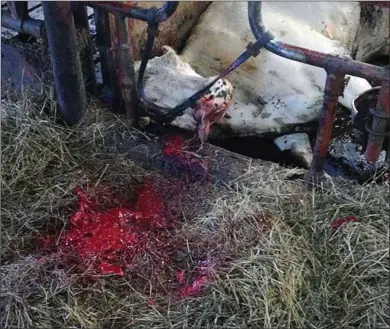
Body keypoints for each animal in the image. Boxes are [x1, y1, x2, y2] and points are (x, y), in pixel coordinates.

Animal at [138, 1, 384, 167]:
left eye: (179, 64)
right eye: (156, 97)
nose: (215, 90)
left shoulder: (331, 59)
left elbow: (361, 98)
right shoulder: (285, 128)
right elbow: (301, 152)